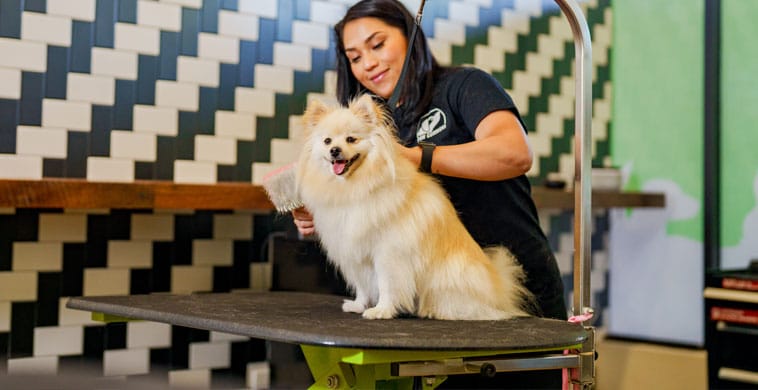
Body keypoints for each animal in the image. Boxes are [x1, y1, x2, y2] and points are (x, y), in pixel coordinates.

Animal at [296, 94, 536, 320]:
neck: (352, 186)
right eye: (327, 141)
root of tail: (499, 290)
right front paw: (359, 305)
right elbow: (362, 284)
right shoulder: (355, 252)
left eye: (351, 139)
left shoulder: (388, 253)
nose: (335, 150)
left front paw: (382, 310)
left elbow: (387, 284)